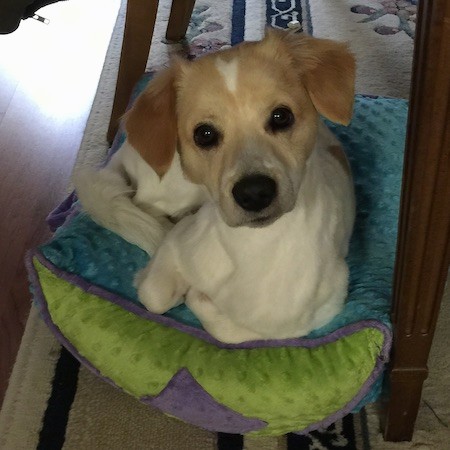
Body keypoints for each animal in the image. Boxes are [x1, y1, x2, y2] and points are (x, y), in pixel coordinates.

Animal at [128, 29, 356, 342]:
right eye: (204, 134)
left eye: (281, 116)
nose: (254, 193)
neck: (248, 247)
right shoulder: (180, 242)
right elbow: (154, 296)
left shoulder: (315, 314)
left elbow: (228, 327)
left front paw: (198, 297)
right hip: (174, 191)